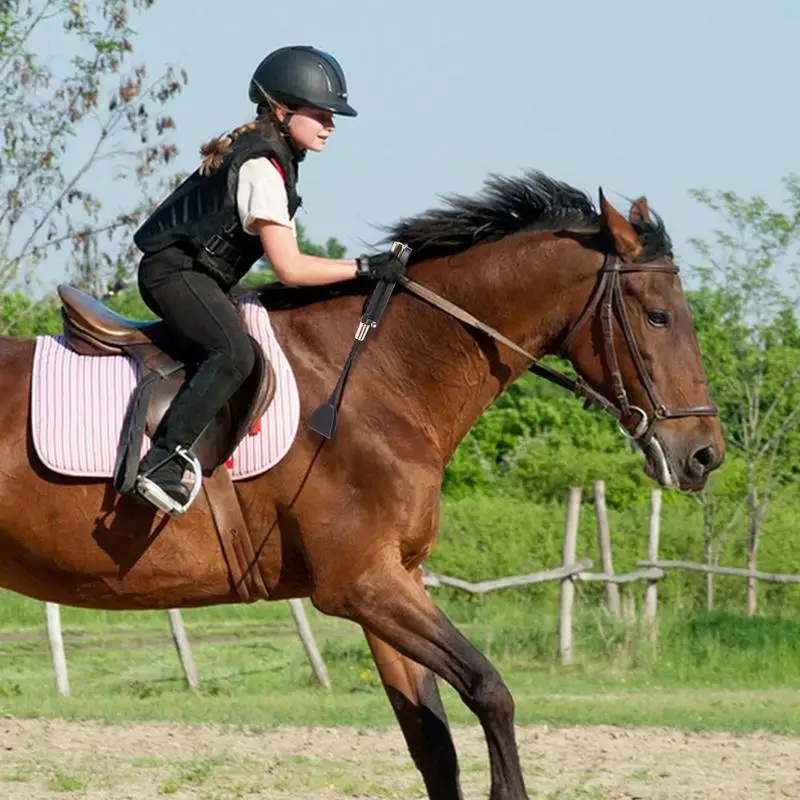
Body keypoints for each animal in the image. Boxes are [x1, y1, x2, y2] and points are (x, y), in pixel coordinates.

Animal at [0, 173, 724, 800]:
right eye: (658, 317)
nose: (704, 455)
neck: (384, 378)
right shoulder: (361, 585)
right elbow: (489, 689)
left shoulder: (395, 581)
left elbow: (434, 743)